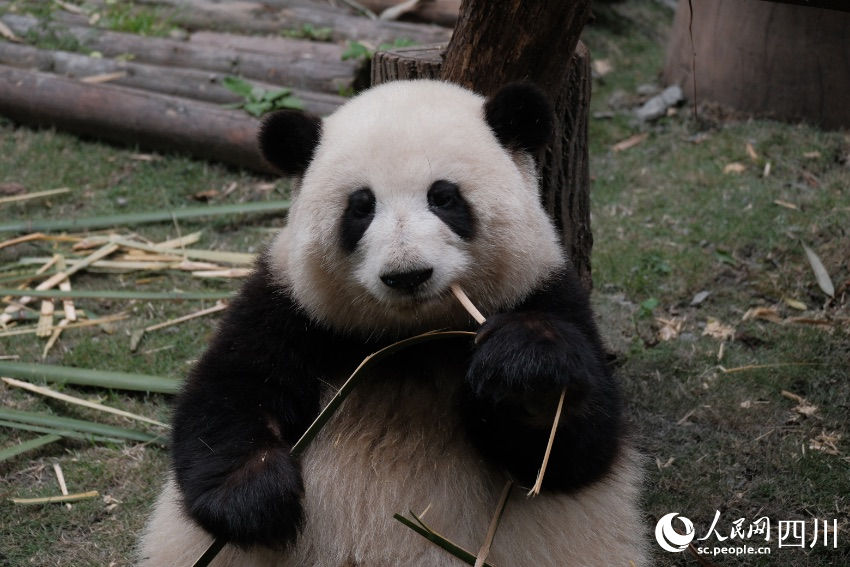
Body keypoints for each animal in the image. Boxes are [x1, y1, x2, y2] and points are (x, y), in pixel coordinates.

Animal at [137, 81, 644, 567]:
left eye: (443, 197)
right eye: (361, 207)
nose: (407, 274)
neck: (411, 339)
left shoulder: (546, 291)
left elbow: (573, 453)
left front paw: (524, 374)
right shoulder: (290, 308)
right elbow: (228, 395)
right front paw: (259, 497)